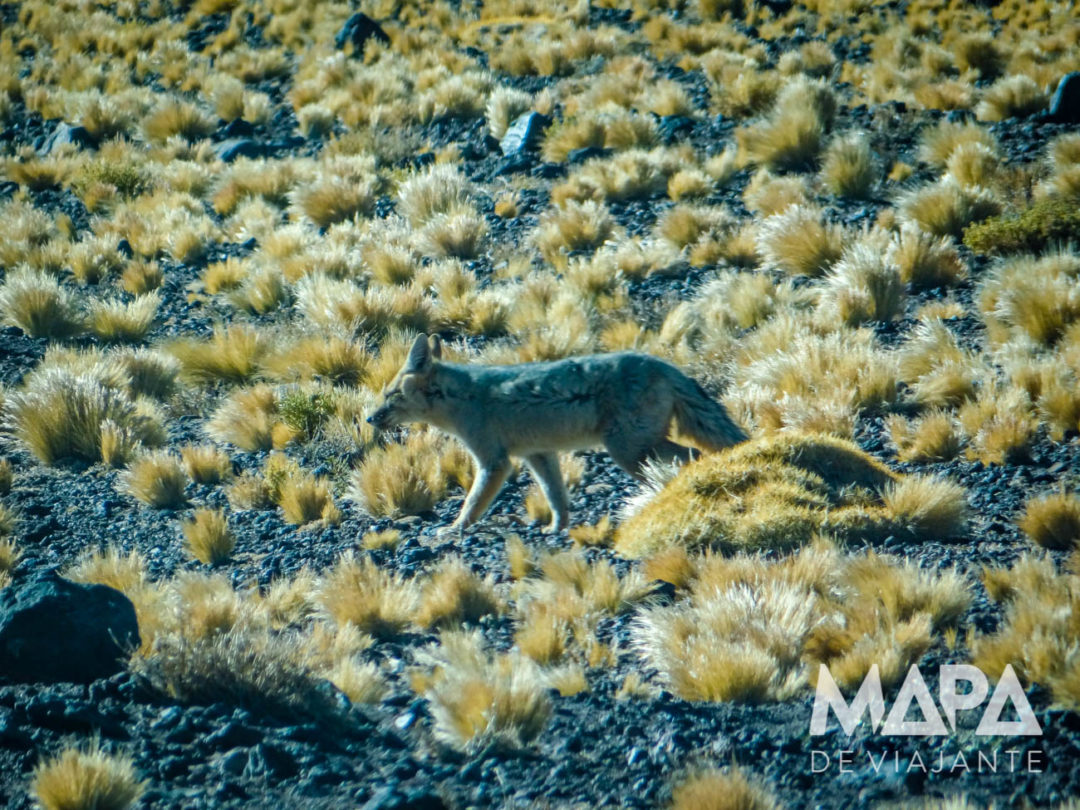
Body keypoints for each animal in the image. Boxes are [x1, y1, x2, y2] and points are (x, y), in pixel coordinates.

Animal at [366, 334, 748, 534]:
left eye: (390, 395)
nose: (370, 418)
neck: (463, 399)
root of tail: (665, 366)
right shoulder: (538, 454)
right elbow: (556, 496)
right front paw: (557, 528)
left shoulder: (494, 461)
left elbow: (473, 501)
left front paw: (456, 528)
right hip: (638, 447)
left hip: (628, 450)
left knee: (693, 455)